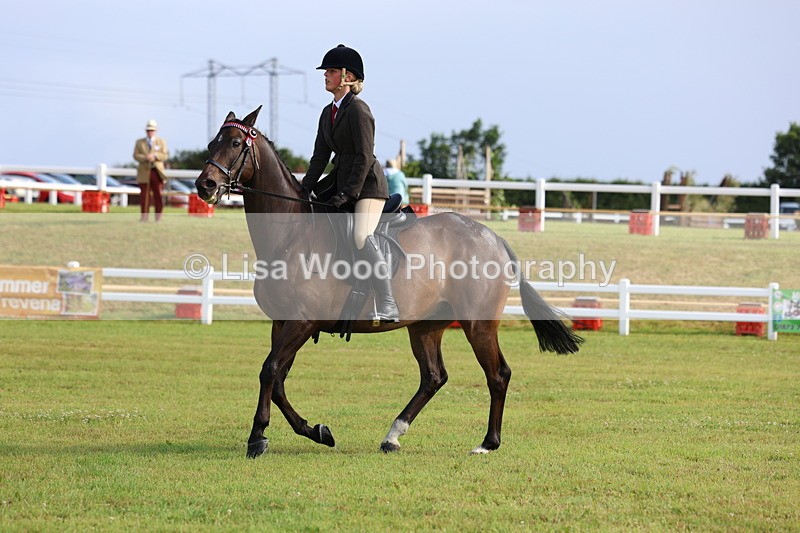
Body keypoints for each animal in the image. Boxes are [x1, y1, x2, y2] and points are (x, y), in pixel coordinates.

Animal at [195, 106, 582, 457]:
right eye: (212, 143)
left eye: (234, 143)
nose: (205, 185)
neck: (292, 234)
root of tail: (494, 237)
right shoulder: (283, 321)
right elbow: (277, 380)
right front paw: (316, 431)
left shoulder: (302, 321)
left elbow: (270, 370)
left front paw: (258, 437)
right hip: (426, 325)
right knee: (433, 377)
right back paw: (393, 436)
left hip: (478, 324)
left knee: (498, 374)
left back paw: (488, 443)